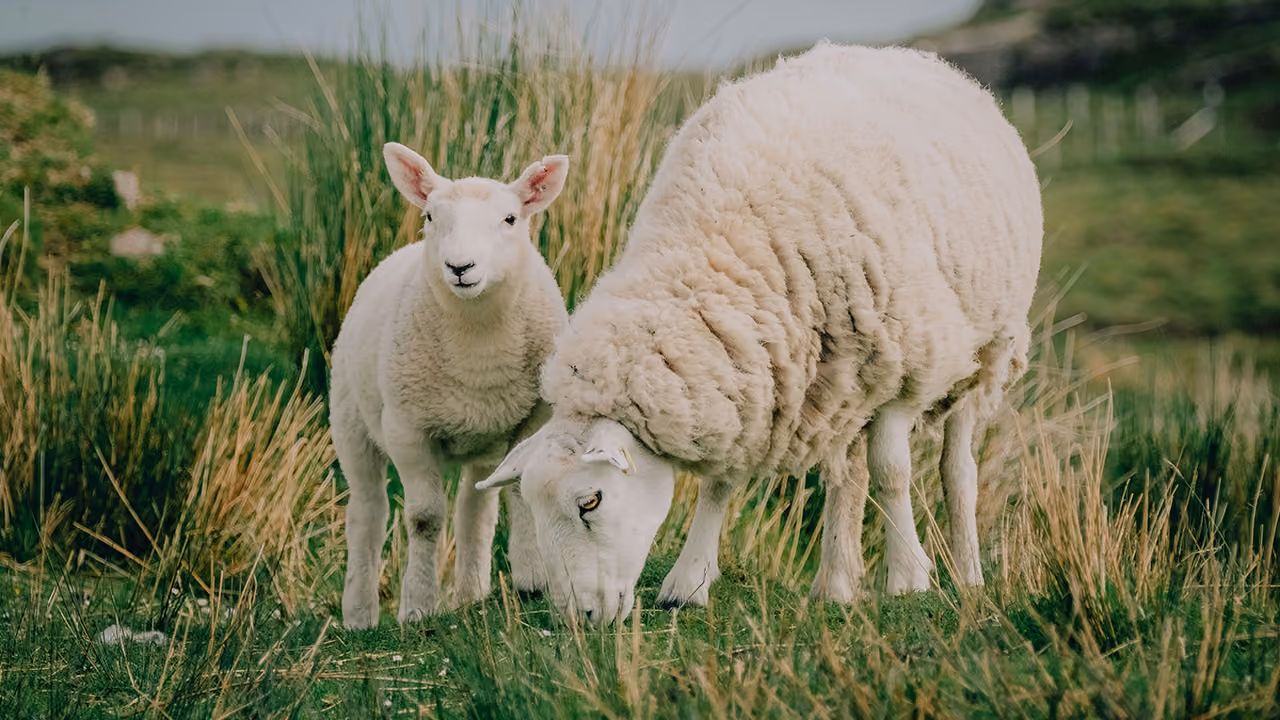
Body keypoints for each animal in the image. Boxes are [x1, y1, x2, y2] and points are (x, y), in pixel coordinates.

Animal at [331, 143, 570, 629]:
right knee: (367, 513)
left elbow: (519, 492)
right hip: (351, 424)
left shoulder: (534, 420)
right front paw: (417, 606)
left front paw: (532, 580)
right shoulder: (407, 430)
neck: (479, 344)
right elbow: (424, 518)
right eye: (430, 217)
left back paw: (470, 595)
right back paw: (360, 616)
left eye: (510, 219)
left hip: (484, 443)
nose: (460, 267)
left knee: (475, 511)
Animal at [476, 43, 1043, 625]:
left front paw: (908, 578)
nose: (578, 619)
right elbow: (720, 484)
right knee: (847, 474)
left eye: (591, 501)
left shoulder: (907, 362)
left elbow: (892, 471)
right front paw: (689, 582)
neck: (715, 244)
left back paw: (966, 573)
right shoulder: (749, 368)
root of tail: (908, 55)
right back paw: (835, 582)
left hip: (987, 352)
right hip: (847, 379)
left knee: (956, 470)